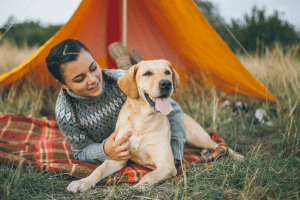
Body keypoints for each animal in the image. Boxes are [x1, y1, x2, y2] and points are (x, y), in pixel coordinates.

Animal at [66, 59, 244, 192]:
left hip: (197, 137)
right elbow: (98, 170)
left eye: (167, 72)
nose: (166, 84)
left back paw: (237, 156)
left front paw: (141, 186)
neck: (142, 120)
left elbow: (149, 175)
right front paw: (82, 182)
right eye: (147, 73)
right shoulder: (117, 158)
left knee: (220, 145)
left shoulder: (167, 165)